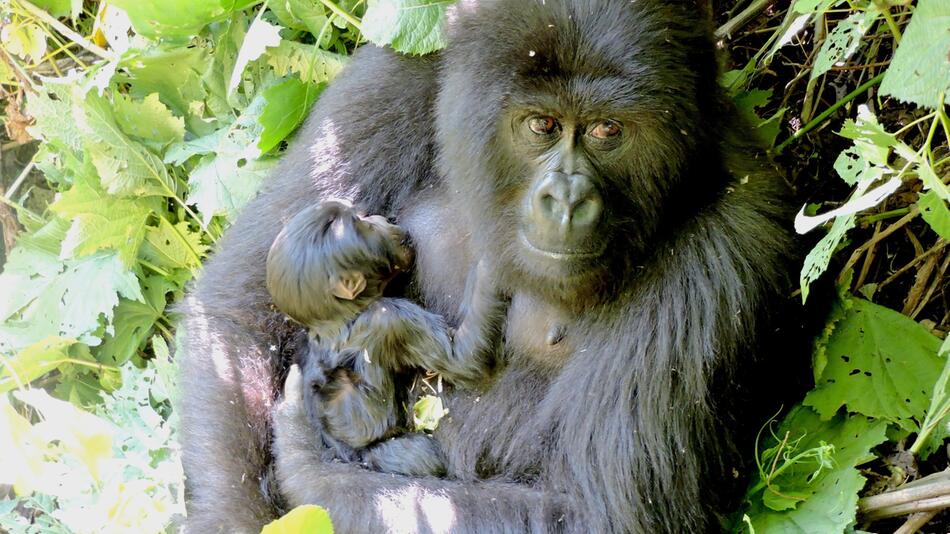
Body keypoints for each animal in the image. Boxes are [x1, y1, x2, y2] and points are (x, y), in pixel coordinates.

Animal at [264, 201, 510, 478]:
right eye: (365, 225)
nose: (376, 218)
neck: (338, 318)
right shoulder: (390, 318)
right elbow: (464, 360)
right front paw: (492, 266)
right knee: (423, 456)